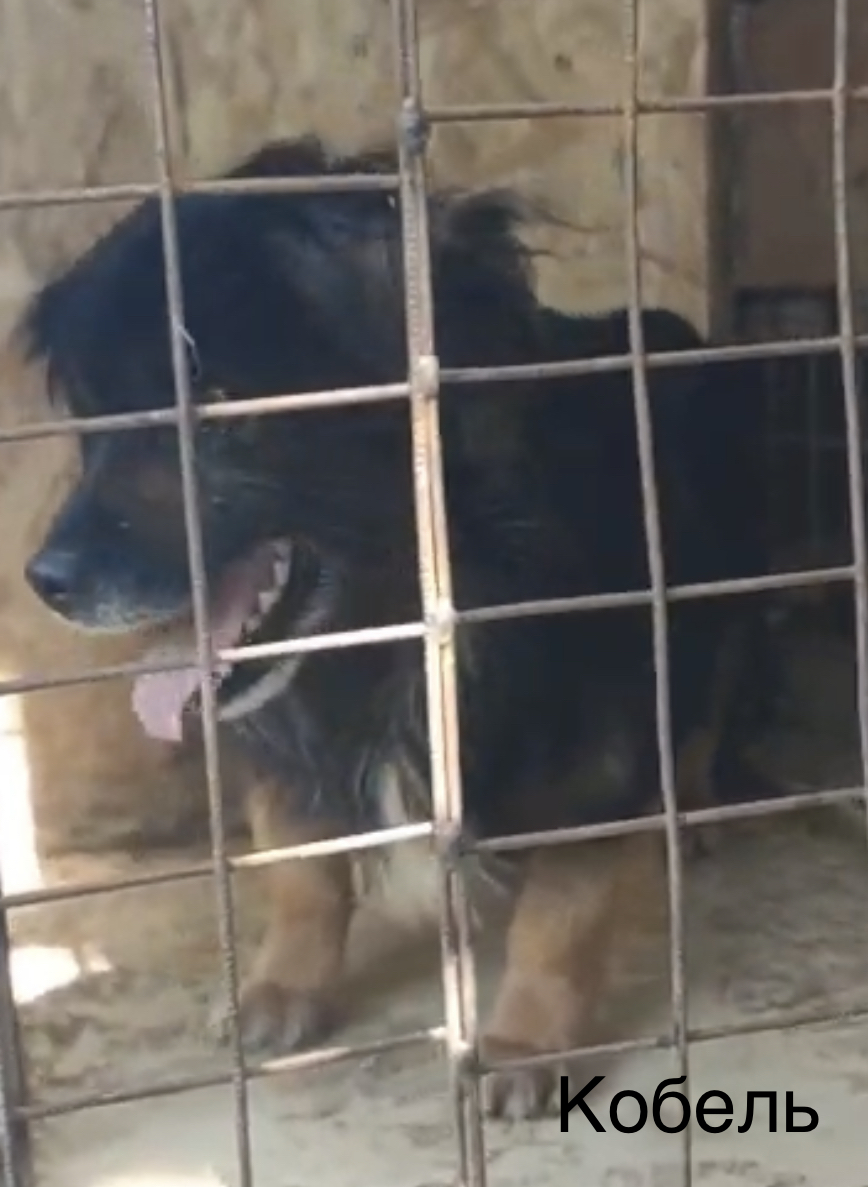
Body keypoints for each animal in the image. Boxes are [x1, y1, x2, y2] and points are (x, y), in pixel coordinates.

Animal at [20, 137, 778, 1119]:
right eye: (97, 413)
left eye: (219, 402)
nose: (46, 582)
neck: (386, 634)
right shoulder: (286, 733)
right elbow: (299, 862)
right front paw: (284, 984)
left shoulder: (596, 738)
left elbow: (561, 916)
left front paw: (524, 1041)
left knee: (707, 706)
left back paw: (692, 810)